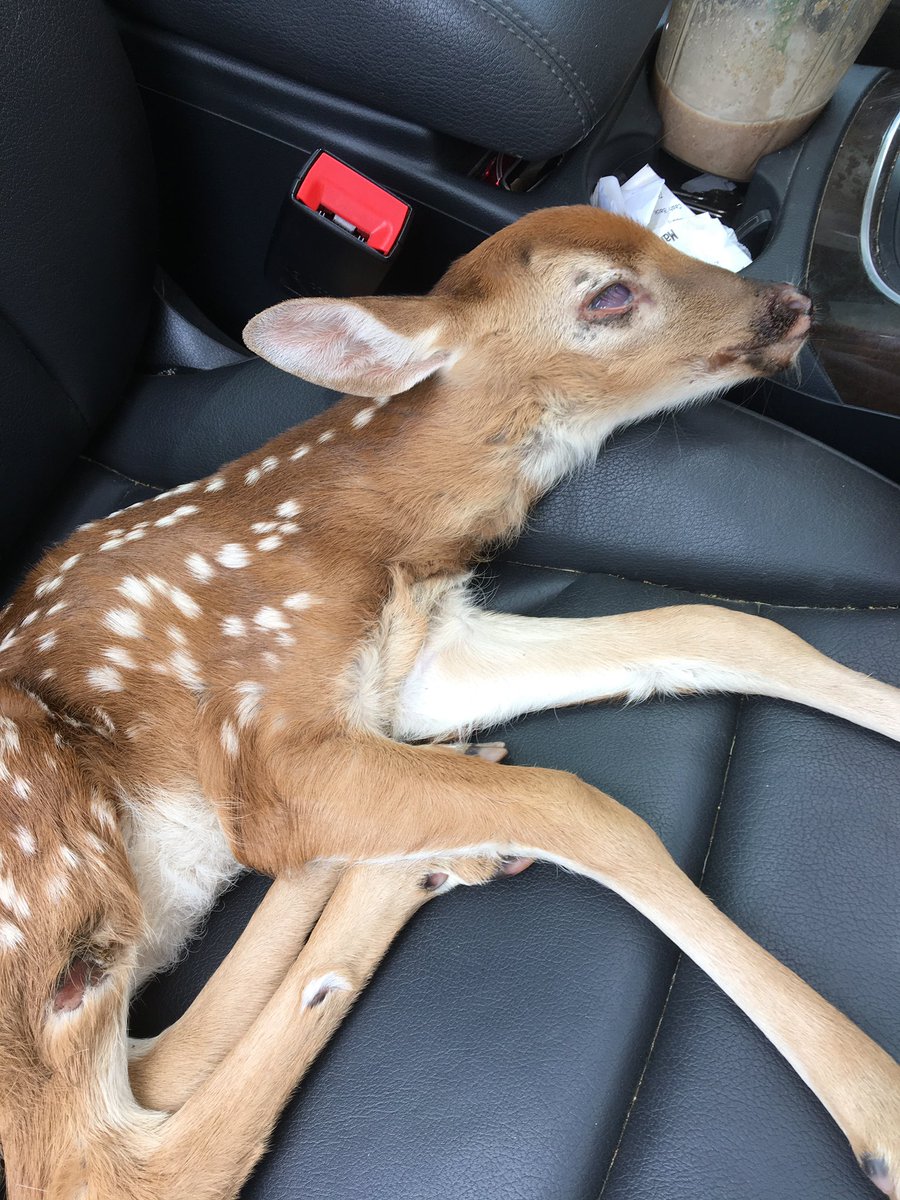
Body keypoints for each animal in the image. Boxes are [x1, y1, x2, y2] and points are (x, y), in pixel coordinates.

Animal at [0, 206, 897, 1200]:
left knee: (150, 1065)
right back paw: (406, 865)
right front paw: (877, 1104)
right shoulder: (260, 735)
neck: (372, 530)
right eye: (608, 294)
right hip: (34, 821)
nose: (790, 303)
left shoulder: (423, 659)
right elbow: (581, 806)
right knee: (118, 1161)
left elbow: (718, 628)